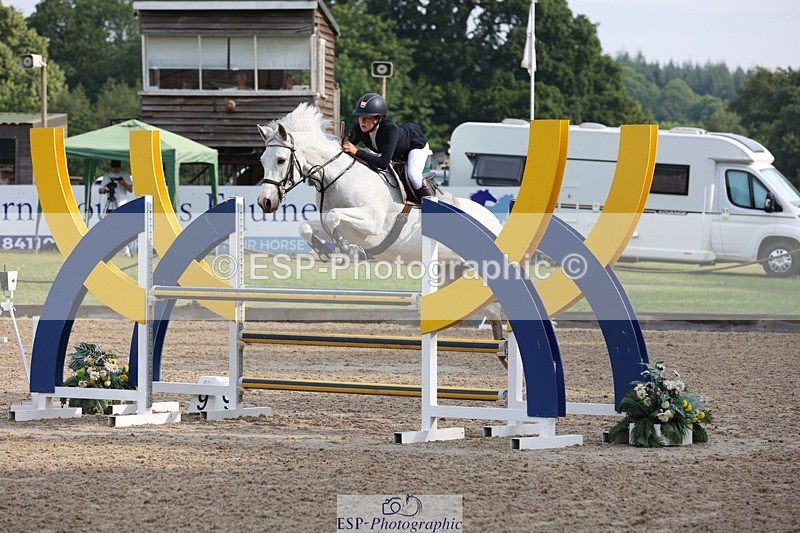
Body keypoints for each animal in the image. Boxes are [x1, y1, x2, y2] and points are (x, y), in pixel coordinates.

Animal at [256, 103, 503, 263]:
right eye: (261, 161)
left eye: (281, 160)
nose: (264, 202)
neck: (338, 177)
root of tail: (494, 221)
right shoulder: (327, 223)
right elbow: (306, 226)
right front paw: (326, 251)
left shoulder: (372, 222)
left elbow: (335, 215)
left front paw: (349, 250)